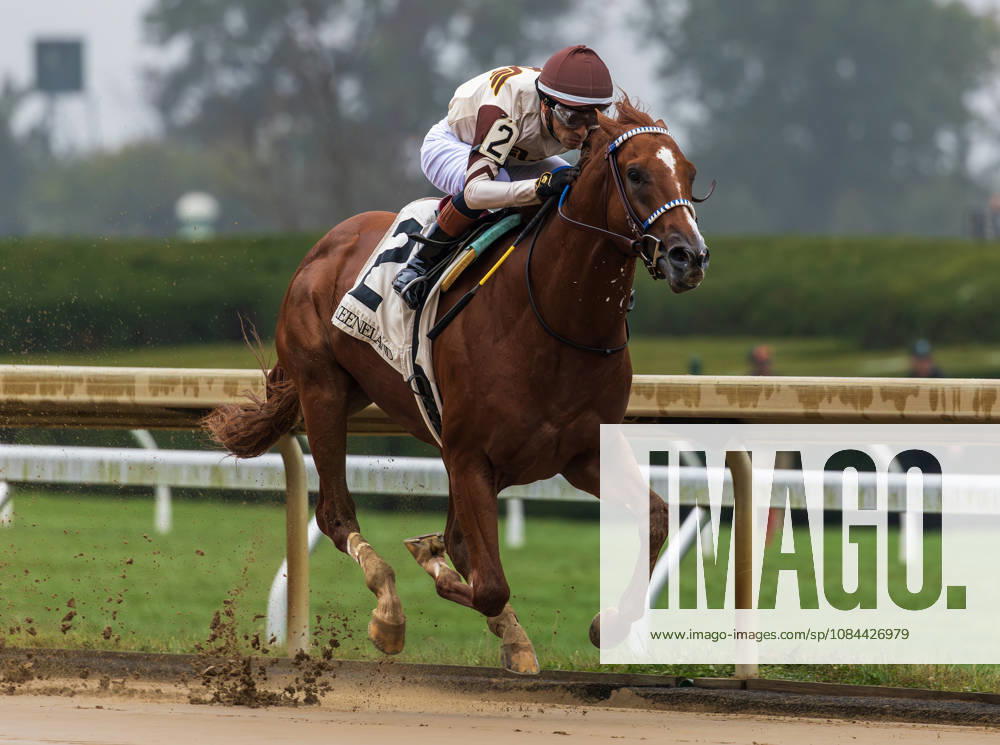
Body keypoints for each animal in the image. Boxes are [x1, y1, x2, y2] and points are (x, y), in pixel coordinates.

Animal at [205, 97, 711, 675]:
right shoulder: (470, 455)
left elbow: (656, 517)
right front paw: (422, 572)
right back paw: (389, 608)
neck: (553, 318)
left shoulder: (580, 451)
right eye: (636, 173)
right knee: (336, 515)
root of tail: (325, 244)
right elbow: (487, 582)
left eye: (690, 174)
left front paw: (608, 623)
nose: (689, 257)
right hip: (322, 391)